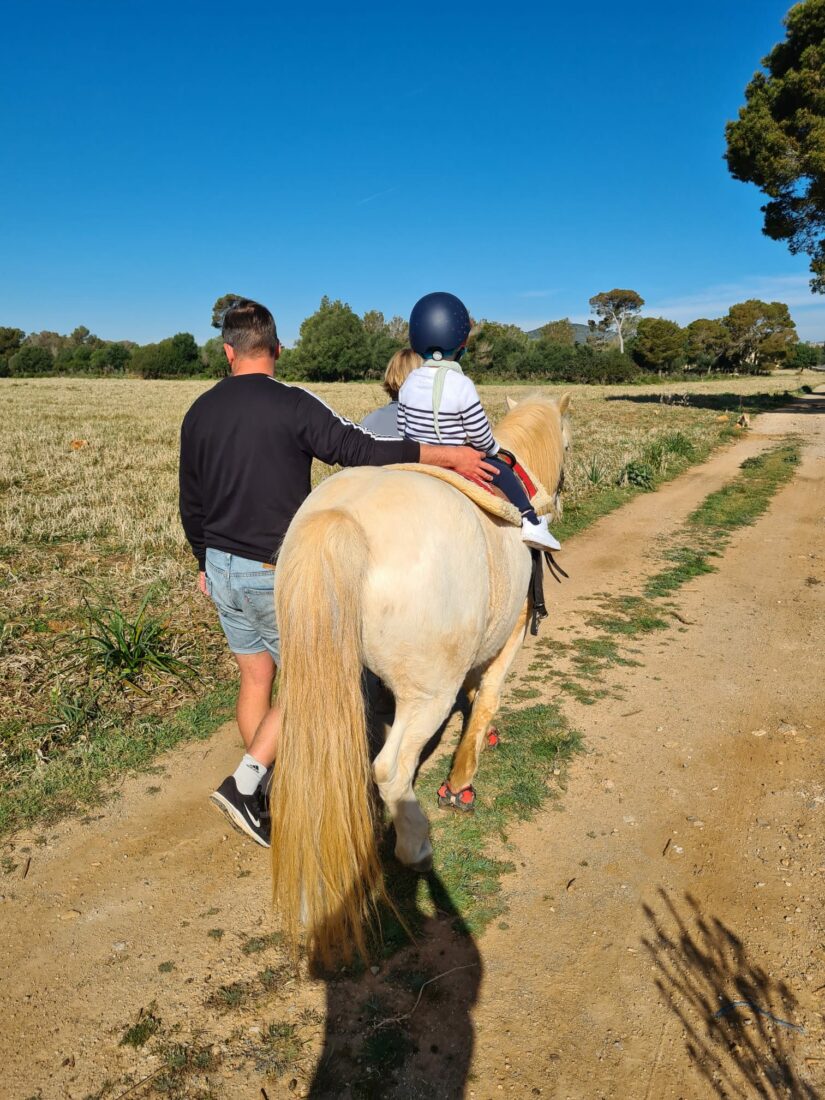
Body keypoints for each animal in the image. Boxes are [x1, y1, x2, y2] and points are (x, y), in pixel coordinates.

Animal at [269, 391, 567, 959]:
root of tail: (342, 519)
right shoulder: (513, 631)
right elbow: (488, 694)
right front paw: (462, 780)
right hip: (426, 693)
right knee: (390, 770)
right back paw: (417, 847)